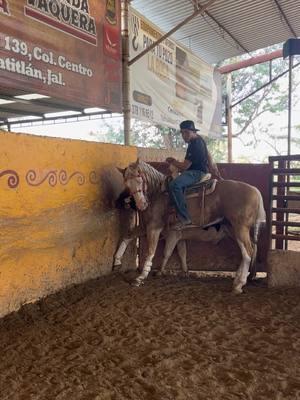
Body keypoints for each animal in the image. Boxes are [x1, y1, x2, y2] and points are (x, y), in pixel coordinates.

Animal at [116, 159, 266, 294]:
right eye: (126, 183)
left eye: (140, 178)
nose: (141, 204)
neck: (158, 194)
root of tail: (256, 192)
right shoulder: (154, 229)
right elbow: (129, 236)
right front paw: (117, 261)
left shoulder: (154, 227)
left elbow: (153, 251)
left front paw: (141, 277)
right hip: (233, 230)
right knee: (249, 250)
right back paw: (238, 280)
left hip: (241, 228)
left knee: (248, 252)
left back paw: (239, 285)